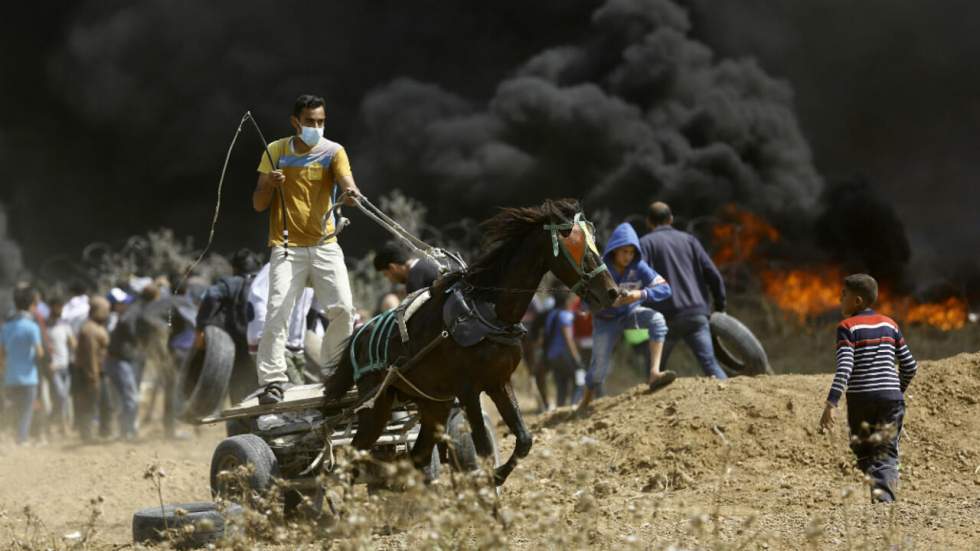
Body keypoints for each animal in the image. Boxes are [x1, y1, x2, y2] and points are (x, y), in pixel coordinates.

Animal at [324, 201, 620, 486]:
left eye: (593, 239)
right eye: (575, 244)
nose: (612, 292)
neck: (486, 310)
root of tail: (359, 336)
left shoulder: (499, 382)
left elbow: (524, 440)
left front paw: (497, 477)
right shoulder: (468, 390)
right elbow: (484, 448)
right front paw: (488, 483)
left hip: (434, 405)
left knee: (416, 457)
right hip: (377, 407)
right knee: (350, 458)